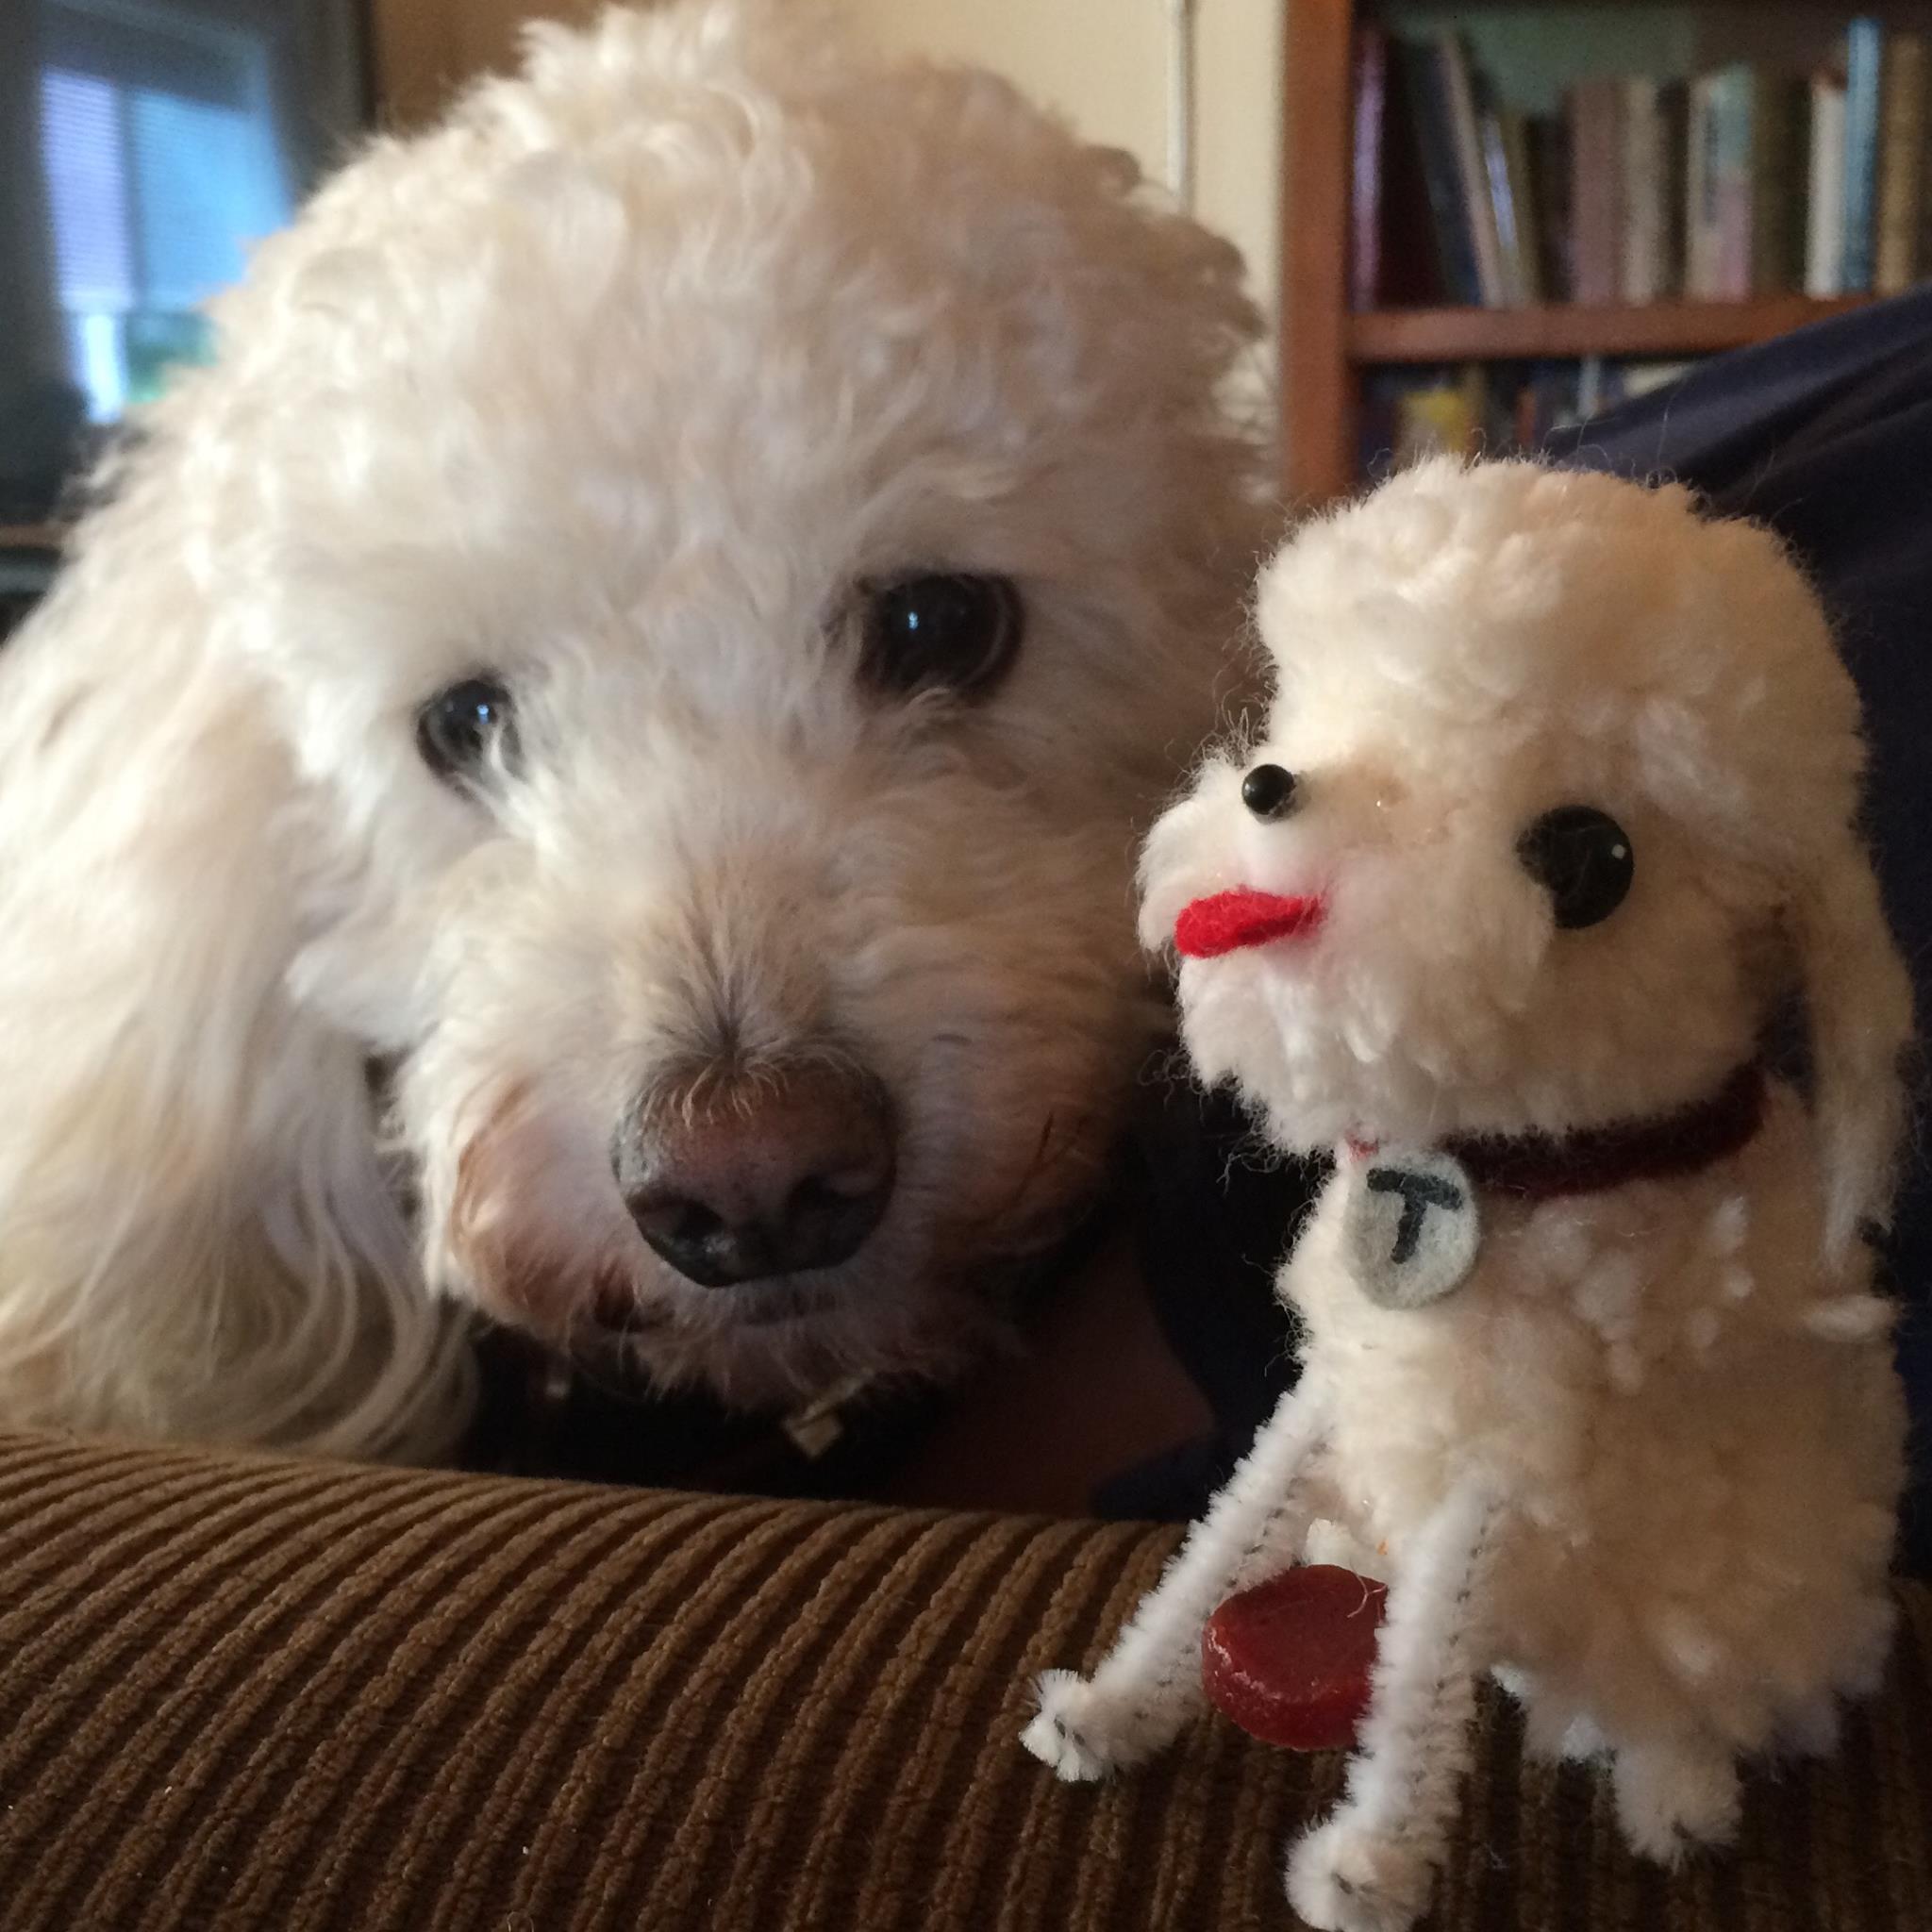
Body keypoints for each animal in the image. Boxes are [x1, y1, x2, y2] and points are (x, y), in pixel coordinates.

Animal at [1020, 463, 1908, 1932]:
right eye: (1310, 719)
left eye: (1588, 860)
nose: (1271, 787)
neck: (1523, 1170)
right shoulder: (1335, 1389)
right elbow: (1222, 1540)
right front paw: (1102, 1709)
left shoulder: (1506, 1469)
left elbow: (1422, 1664)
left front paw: (1361, 1866)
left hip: (1741, 1618)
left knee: (1677, 1705)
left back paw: (1676, 1797)